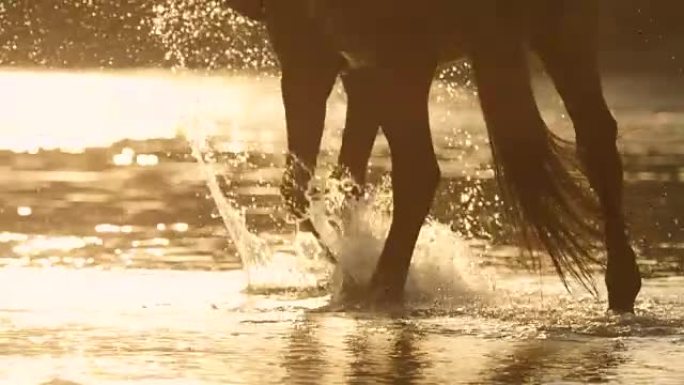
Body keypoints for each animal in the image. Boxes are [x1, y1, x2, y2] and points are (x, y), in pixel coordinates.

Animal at [228, 0, 640, 312]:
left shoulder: (308, 49)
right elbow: (345, 182)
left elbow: (298, 187)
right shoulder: (357, 68)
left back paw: (382, 289)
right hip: (563, 29)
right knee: (597, 141)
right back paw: (622, 286)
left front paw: (343, 264)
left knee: (418, 170)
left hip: (404, 59)